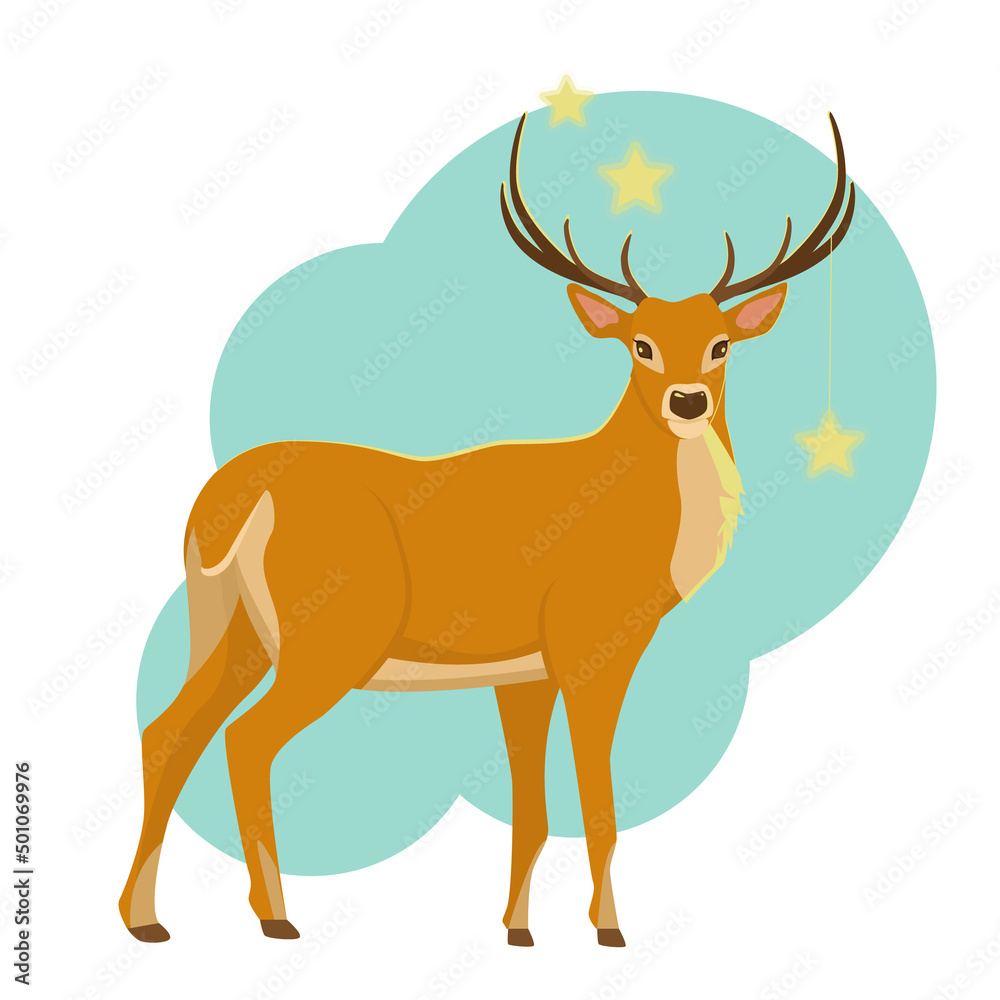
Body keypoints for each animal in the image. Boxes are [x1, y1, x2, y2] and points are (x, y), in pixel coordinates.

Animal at [120, 111, 854, 948]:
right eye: (640, 343)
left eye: (720, 342)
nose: (689, 401)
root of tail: (235, 496)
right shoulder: (593, 645)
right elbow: (598, 801)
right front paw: (609, 932)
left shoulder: (523, 672)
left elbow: (530, 808)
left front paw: (518, 931)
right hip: (331, 635)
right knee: (244, 741)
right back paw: (276, 916)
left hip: (229, 626)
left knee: (167, 731)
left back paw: (146, 921)